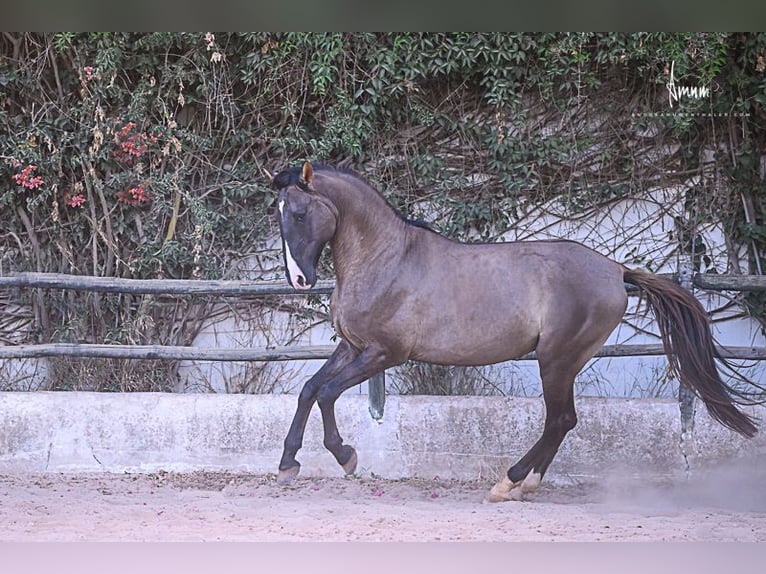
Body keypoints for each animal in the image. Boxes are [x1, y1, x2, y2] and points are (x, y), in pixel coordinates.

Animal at [270, 161, 758, 502]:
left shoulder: (384, 353)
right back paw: (521, 486)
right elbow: (309, 390)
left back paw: (509, 483)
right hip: (562, 362)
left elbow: (327, 393)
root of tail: (615, 270)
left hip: (556, 359)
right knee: (562, 421)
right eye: (278, 215)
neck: (386, 259)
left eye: (299, 212)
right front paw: (288, 464)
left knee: (560, 419)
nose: (300, 280)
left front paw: (345, 456)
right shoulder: (352, 347)